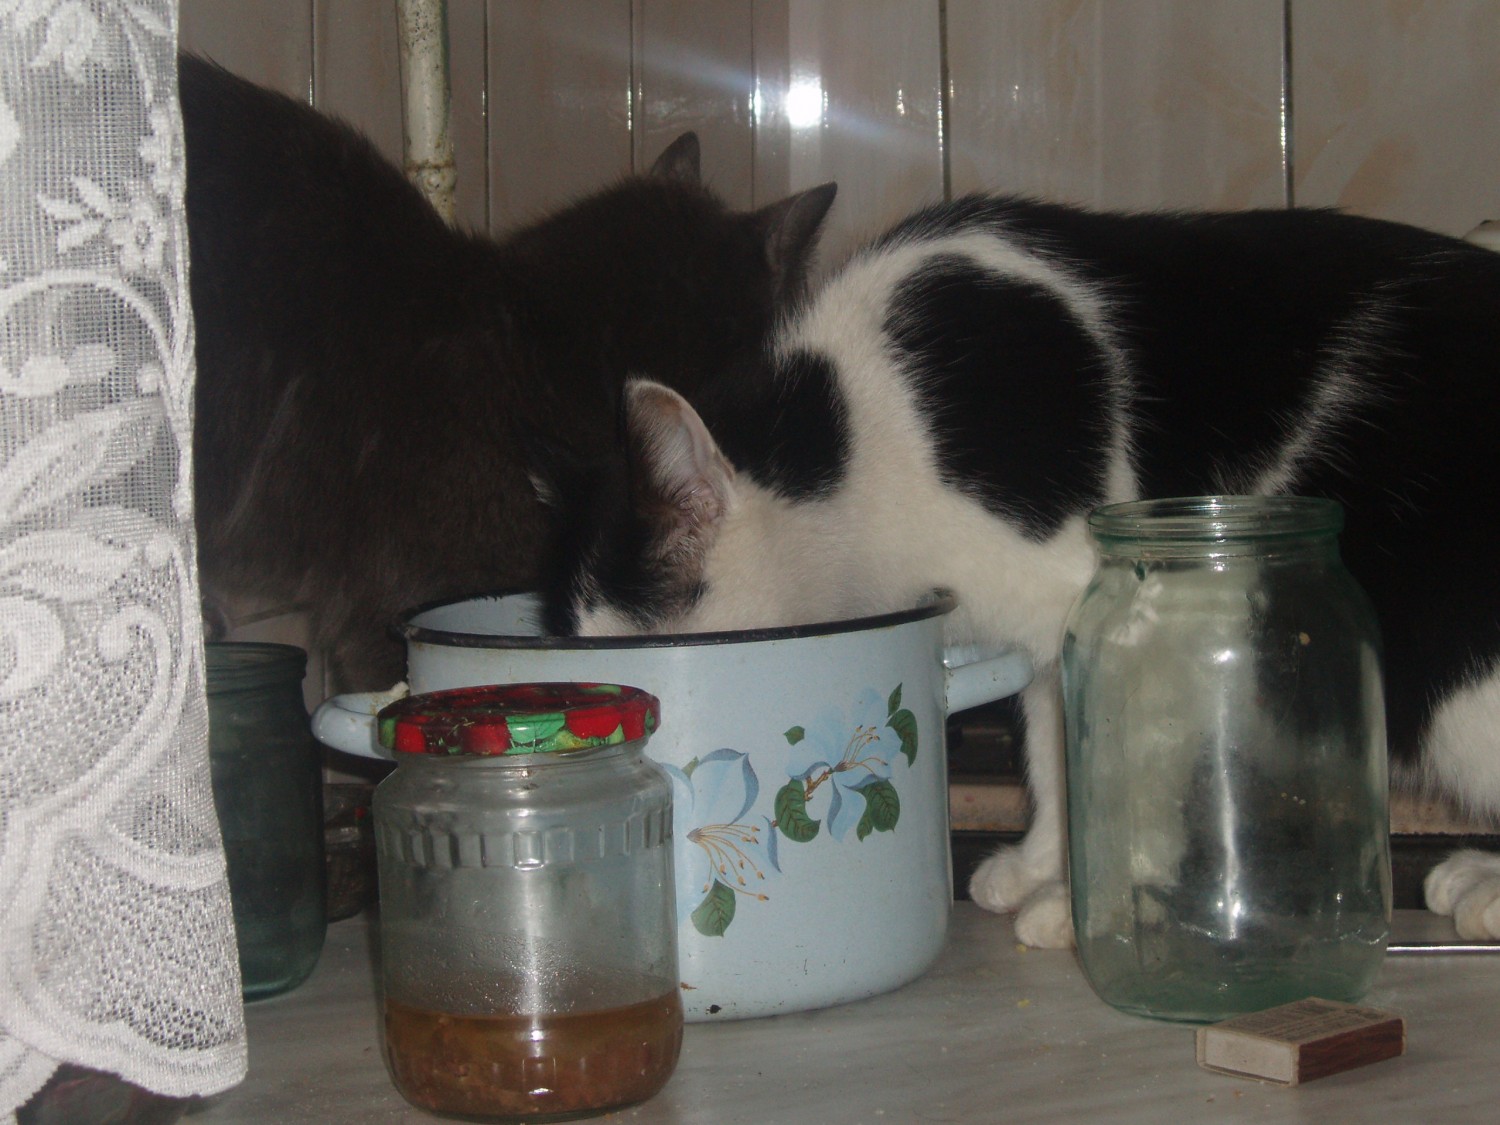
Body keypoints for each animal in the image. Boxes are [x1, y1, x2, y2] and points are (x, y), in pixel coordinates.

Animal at [536, 194, 1500, 946]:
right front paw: (1047, 864)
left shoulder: (1134, 601)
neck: (859, 436)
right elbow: (1050, 741)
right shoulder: (1044, 635)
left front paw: (1097, 903)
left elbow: (1128, 761)